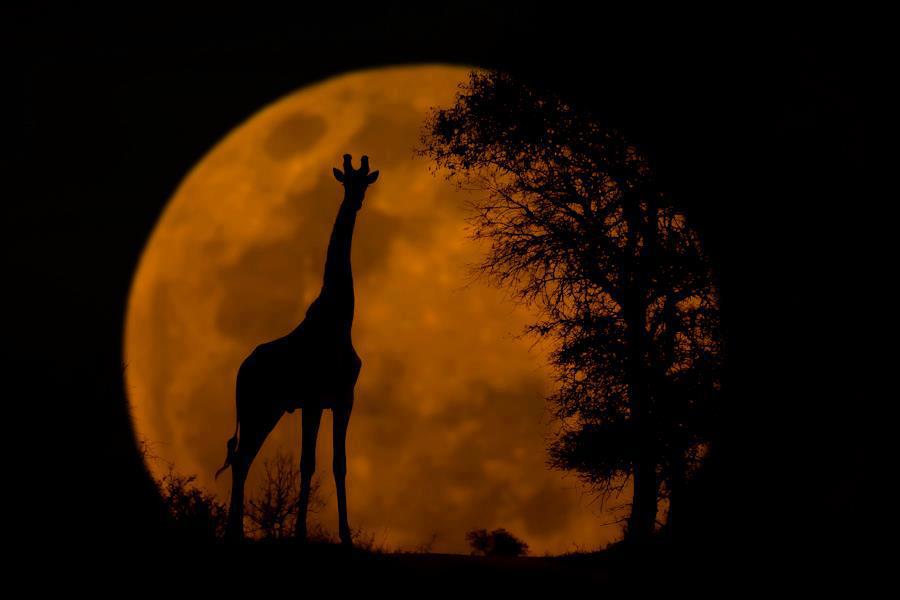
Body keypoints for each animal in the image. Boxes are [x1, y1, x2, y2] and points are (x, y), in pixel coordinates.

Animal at [216, 154, 379, 544]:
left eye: (365, 182)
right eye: (346, 181)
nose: (355, 202)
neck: (339, 320)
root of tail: (241, 370)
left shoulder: (343, 398)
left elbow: (339, 463)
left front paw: (346, 536)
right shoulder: (313, 399)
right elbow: (308, 463)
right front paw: (302, 533)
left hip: (270, 410)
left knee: (243, 458)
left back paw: (235, 532)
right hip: (256, 407)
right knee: (241, 457)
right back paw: (234, 532)